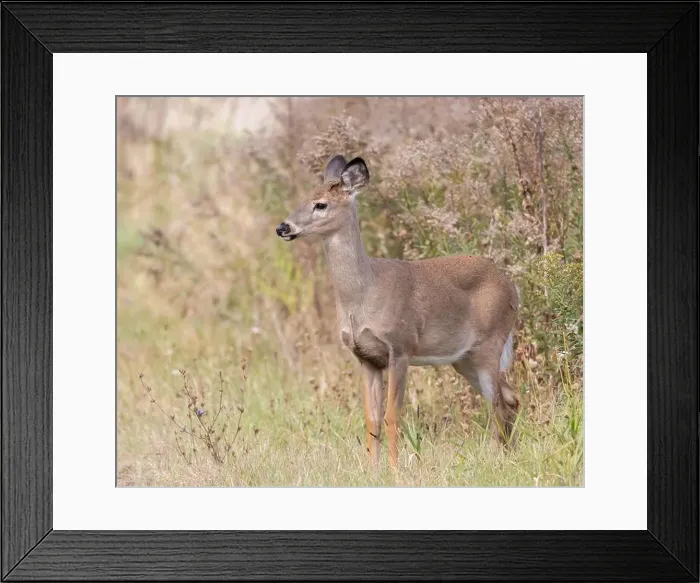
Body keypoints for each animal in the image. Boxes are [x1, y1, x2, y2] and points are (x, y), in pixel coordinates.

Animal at [275, 154, 522, 468]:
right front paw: (372, 470)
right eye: (303, 198)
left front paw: (394, 470)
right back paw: (508, 454)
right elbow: (371, 419)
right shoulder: (366, 357)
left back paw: (497, 458)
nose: (283, 227)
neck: (364, 294)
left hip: (490, 342)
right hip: (464, 358)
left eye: (321, 204)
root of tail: (512, 287)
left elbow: (392, 416)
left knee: (498, 403)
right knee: (510, 397)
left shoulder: (400, 347)